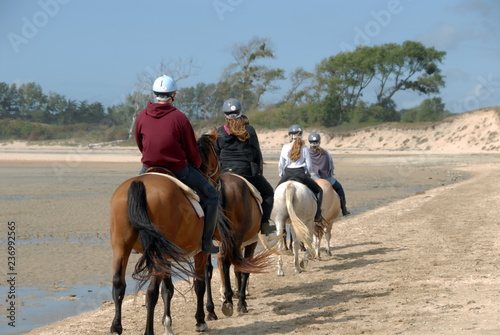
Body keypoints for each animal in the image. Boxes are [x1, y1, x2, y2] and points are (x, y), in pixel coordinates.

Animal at [109, 133, 258, 335]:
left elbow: (168, 290)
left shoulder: (167, 254)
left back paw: (116, 327)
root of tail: (140, 184)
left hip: (122, 246)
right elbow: (199, 283)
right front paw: (200, 321)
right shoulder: (200, 251)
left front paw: (168, 325)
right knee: (151, 291)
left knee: (119, 284)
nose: (219, 181)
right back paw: (149, 330)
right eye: (217, 152)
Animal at [203, 173, 270, 320]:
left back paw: (211, 309)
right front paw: (241, 301)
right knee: (225, 260)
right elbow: (243, 269)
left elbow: (237, 269)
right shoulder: (250, 242)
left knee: (208, 268)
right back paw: (228, 301)